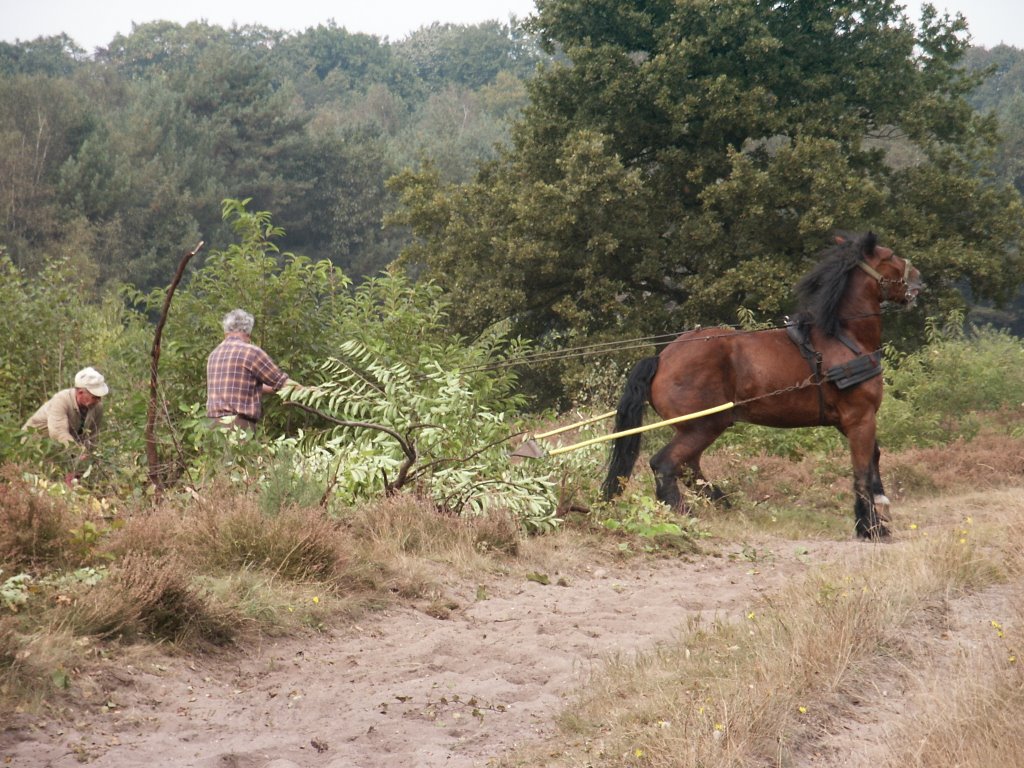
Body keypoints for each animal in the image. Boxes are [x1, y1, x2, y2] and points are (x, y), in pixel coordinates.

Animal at [602, 231, 925, 536]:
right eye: (890, 256)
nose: (919, 280)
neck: (845, 338)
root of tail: (662, 358)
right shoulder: (860, 418)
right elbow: (862, 473)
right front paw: (871, 528)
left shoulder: (849, 420)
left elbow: (873, 460)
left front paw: (878, 515)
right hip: (704, 425)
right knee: (666, 464)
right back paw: (685, 512)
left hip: (695, 428)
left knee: (688, 468)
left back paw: (724, 506)